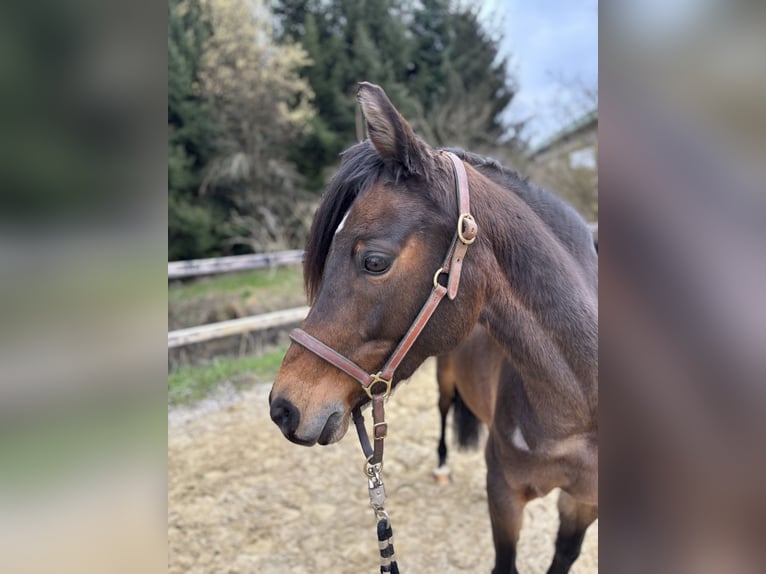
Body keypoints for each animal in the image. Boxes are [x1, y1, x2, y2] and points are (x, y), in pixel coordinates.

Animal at [270, 82, 600, 574]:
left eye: (374, 261)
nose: (284, 408)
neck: (577, 415)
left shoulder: (582, 505)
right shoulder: (504, 496)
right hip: (444, 381)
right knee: (445, 414)